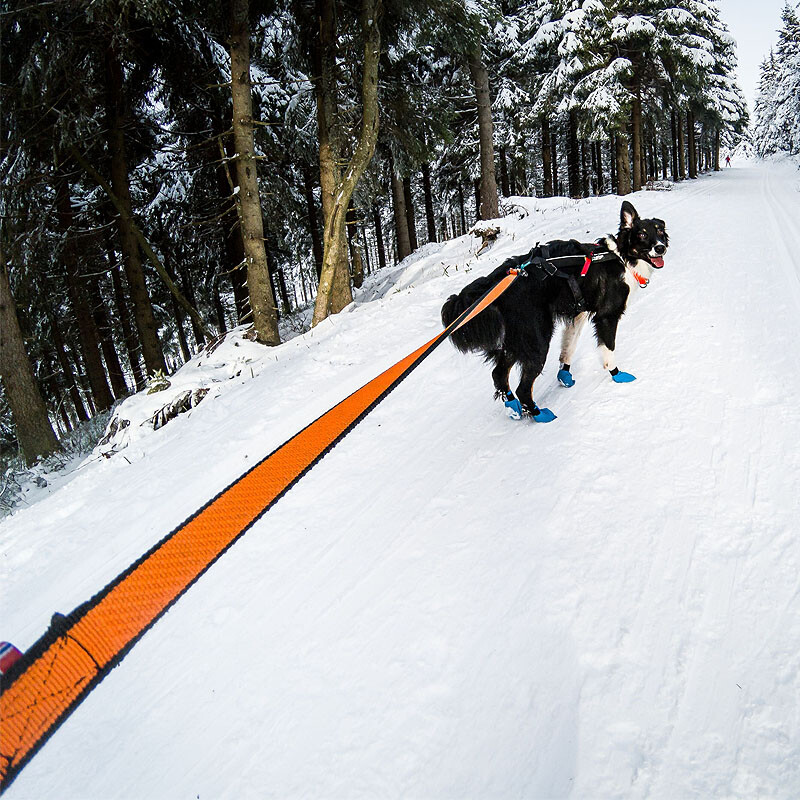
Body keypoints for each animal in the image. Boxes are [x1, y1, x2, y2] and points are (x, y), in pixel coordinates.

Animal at [440, 203, 664, 422]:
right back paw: (538, 414)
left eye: (660, 231)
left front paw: (564, 374)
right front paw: (616, 374)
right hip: (538, 338)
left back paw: (513, 407)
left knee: (499, 374)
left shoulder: (579, 314)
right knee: (523, 388)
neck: (620, 257)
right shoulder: (606, 316)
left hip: (517, 340)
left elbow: (568, 348)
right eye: (642, 234)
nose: (660, 247)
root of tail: (500, 279)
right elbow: (608, 349)